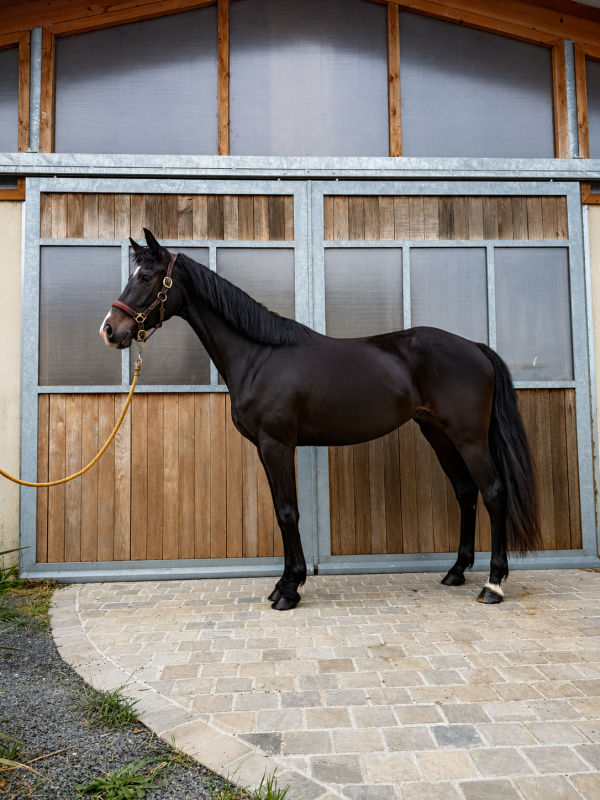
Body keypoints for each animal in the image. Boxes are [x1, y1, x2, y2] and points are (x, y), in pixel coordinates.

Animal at [100, 228, 540, 610]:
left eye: (144, 277)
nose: (109, 330)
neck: (259, 356)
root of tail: (475, 347)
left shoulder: (277, 444)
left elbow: (287, 512)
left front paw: (290, 590)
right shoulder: (265, 448)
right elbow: (281, 511)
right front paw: (282, 583)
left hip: (469, 437)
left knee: (493, 493)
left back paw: (493, 585)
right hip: (438, 433)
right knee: (466, 492)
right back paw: (456, 572)